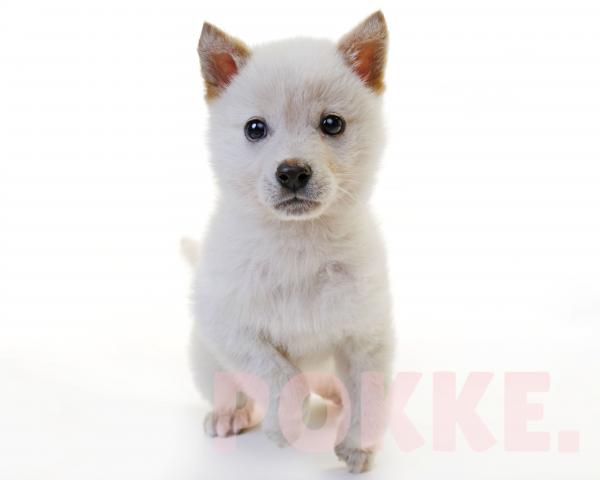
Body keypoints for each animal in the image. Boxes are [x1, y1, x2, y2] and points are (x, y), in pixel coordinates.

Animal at [189, 11, 394, 473]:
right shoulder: (229, 327)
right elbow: (278, 376)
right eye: (255, 129)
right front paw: (288, 425)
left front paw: (357, 446)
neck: (300, 245)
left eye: (332, 124)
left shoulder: (366, 336)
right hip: (204, 360)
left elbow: (368, 396)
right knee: (233, 389)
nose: (293, 172)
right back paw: (231, 415)